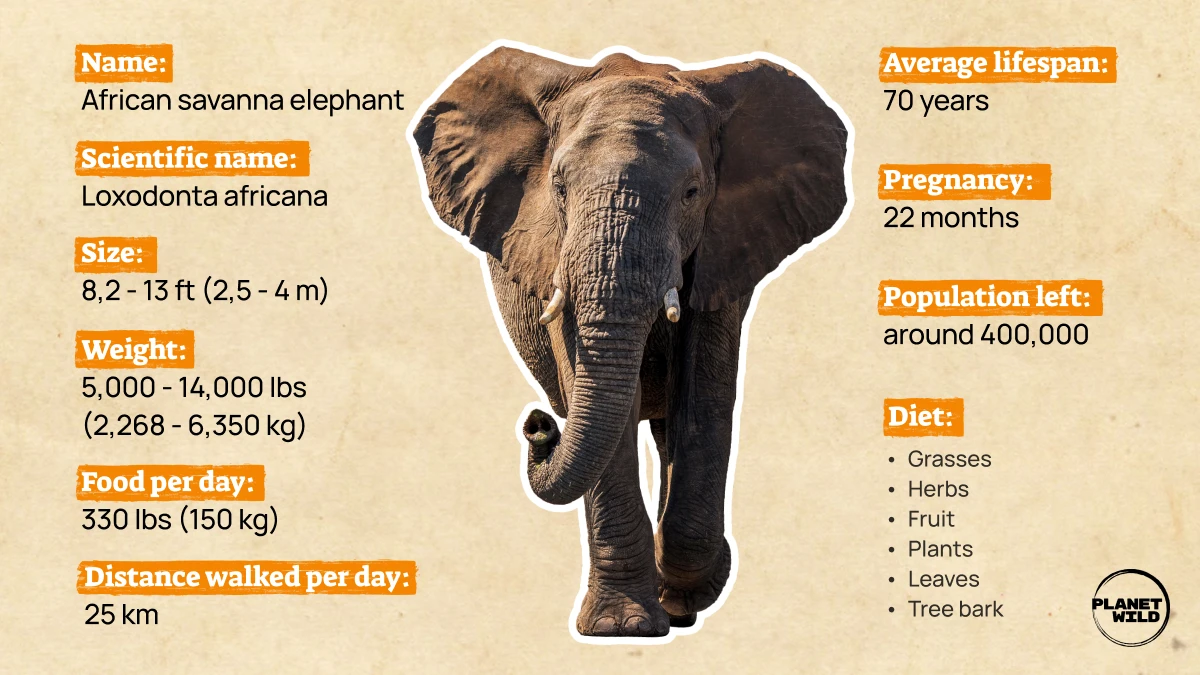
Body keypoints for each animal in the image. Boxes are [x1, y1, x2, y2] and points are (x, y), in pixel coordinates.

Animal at [412, 44, 850, 638]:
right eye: (559, 188)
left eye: (692, 194)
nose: (537, 426)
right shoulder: (551, 248)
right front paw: (622, 628)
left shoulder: (727, 243)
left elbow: (705, 390)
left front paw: (682, 591)